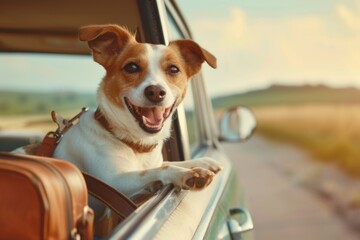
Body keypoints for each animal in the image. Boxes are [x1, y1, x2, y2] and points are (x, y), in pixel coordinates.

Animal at [18, 23, 222, 204]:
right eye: (131, 67)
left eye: (173, 69)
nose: (156, 92)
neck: (135, 145)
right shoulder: (113, 182)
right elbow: (157, 170)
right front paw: (185, 174)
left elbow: (166, 164)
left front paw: (201, 162)